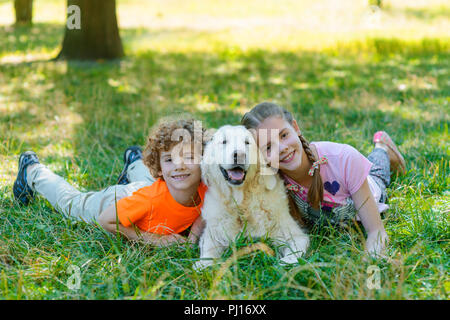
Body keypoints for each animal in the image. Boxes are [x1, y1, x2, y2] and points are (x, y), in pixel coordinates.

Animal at [195, 125, 312, 270]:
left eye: (247, 142)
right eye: (224, 142)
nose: (239, 155)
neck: (240, 204)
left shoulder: (293, 234)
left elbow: (294, 250)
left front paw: (285, 263)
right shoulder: (213, 232)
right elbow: (208, 250)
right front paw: (203, 265)